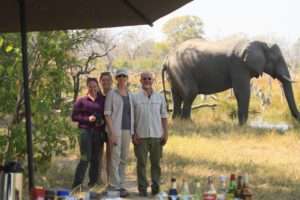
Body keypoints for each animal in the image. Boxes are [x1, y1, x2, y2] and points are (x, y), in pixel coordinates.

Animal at [162, 38, 300, 124]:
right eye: (279, 59)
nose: (296, 121)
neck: (259, 42)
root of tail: (167, 58)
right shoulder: (239, 65)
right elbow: (242, 92)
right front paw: (243, 126)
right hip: (181, 69)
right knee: (190, 93)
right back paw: (188, 123)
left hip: (174, 73)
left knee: (176, 96)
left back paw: (176, 121)